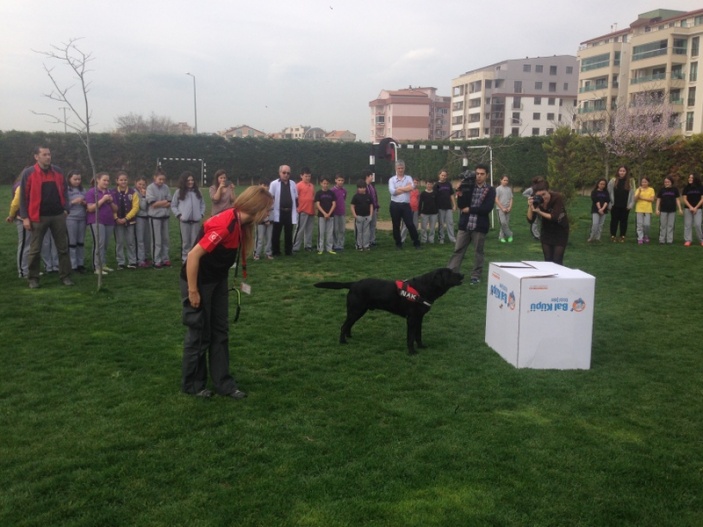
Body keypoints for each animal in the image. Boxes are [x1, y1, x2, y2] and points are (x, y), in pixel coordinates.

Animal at [316, 268, 464, 354]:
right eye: (450, 273)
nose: (462, 274)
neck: (423, 288)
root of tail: (353, 283)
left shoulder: (419, 318)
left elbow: (418, 335)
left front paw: (421, 347)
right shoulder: (411, 319)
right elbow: (411, 337)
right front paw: (412, 352)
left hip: (359, 311)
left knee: (348, 325)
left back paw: (349, 336)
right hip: (356, 310)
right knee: (343, 326)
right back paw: (343, 341)